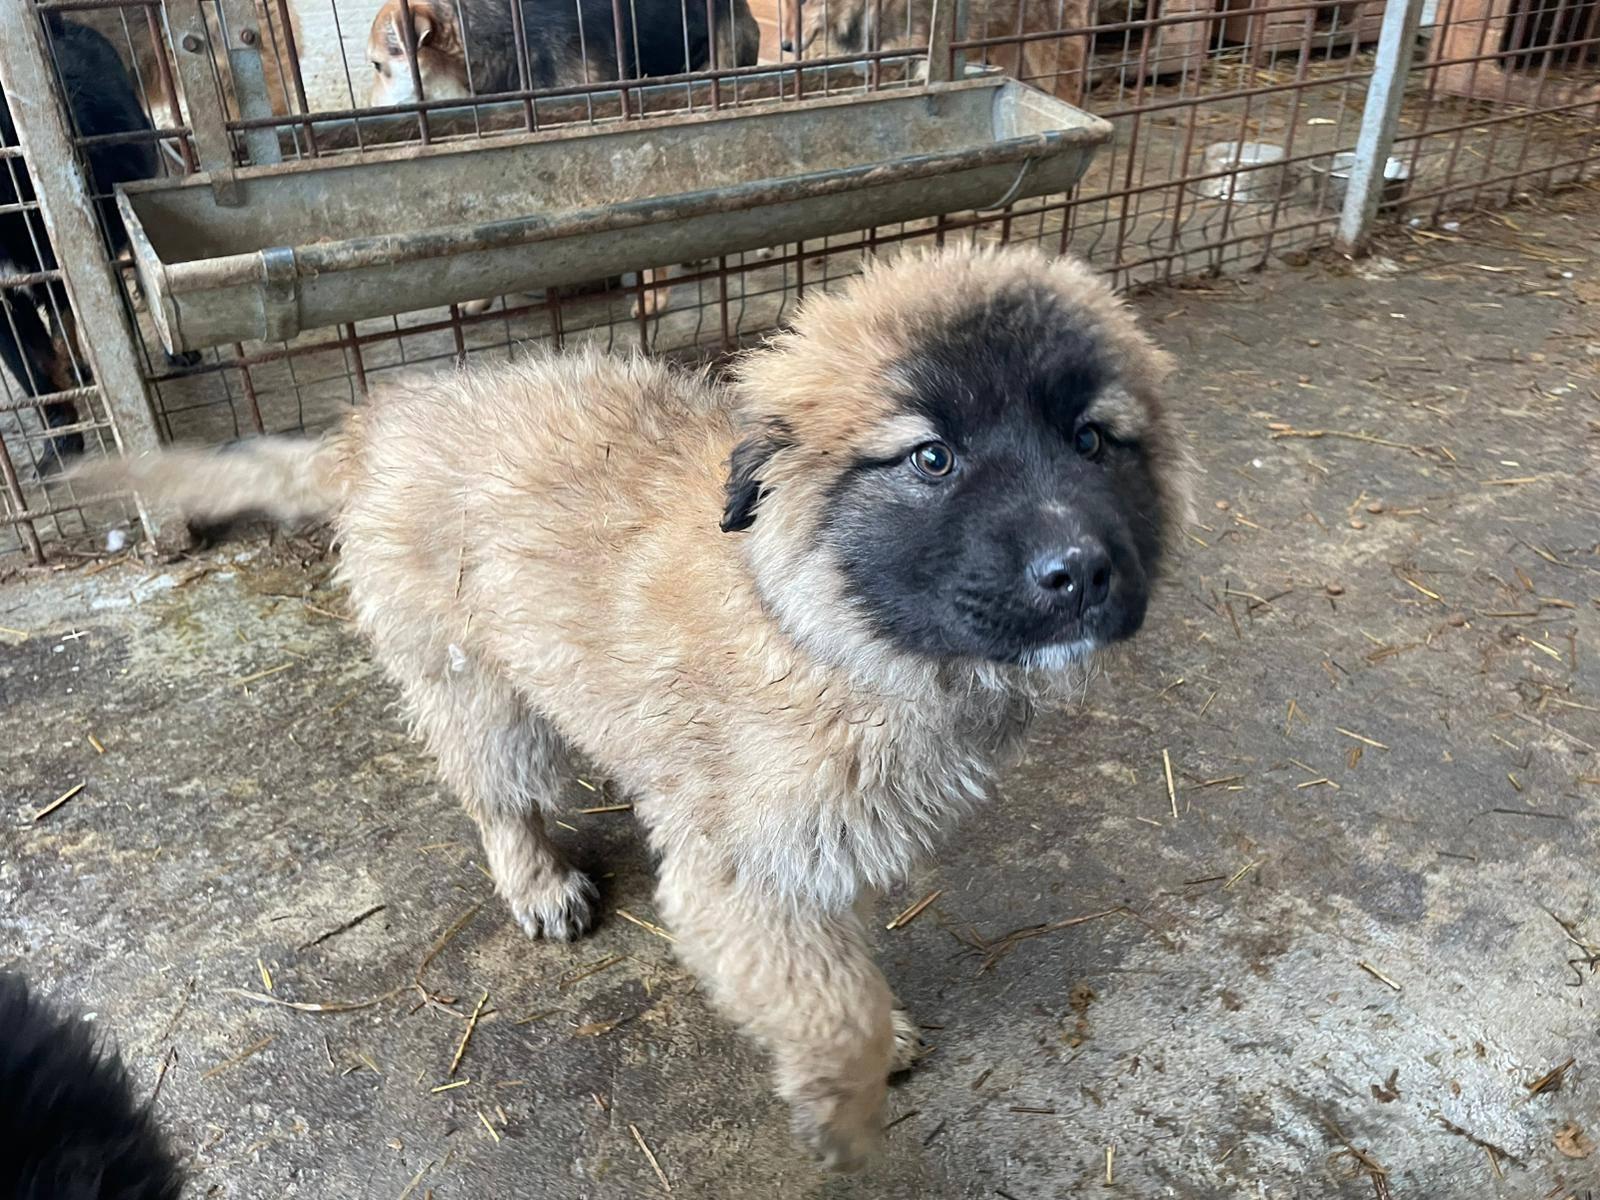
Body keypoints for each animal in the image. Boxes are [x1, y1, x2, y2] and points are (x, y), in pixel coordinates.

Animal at [82, 245, 1189, 1167]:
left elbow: (840, 964)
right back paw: (536, 882)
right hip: (475, 686)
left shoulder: (826, 846)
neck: (808, 618)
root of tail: (374, 425)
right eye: (932, 458)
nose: (1080, 572)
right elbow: (833, 1007)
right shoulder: (735, 876)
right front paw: (848, 1113)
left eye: (1093, 440)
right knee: (497, 793)